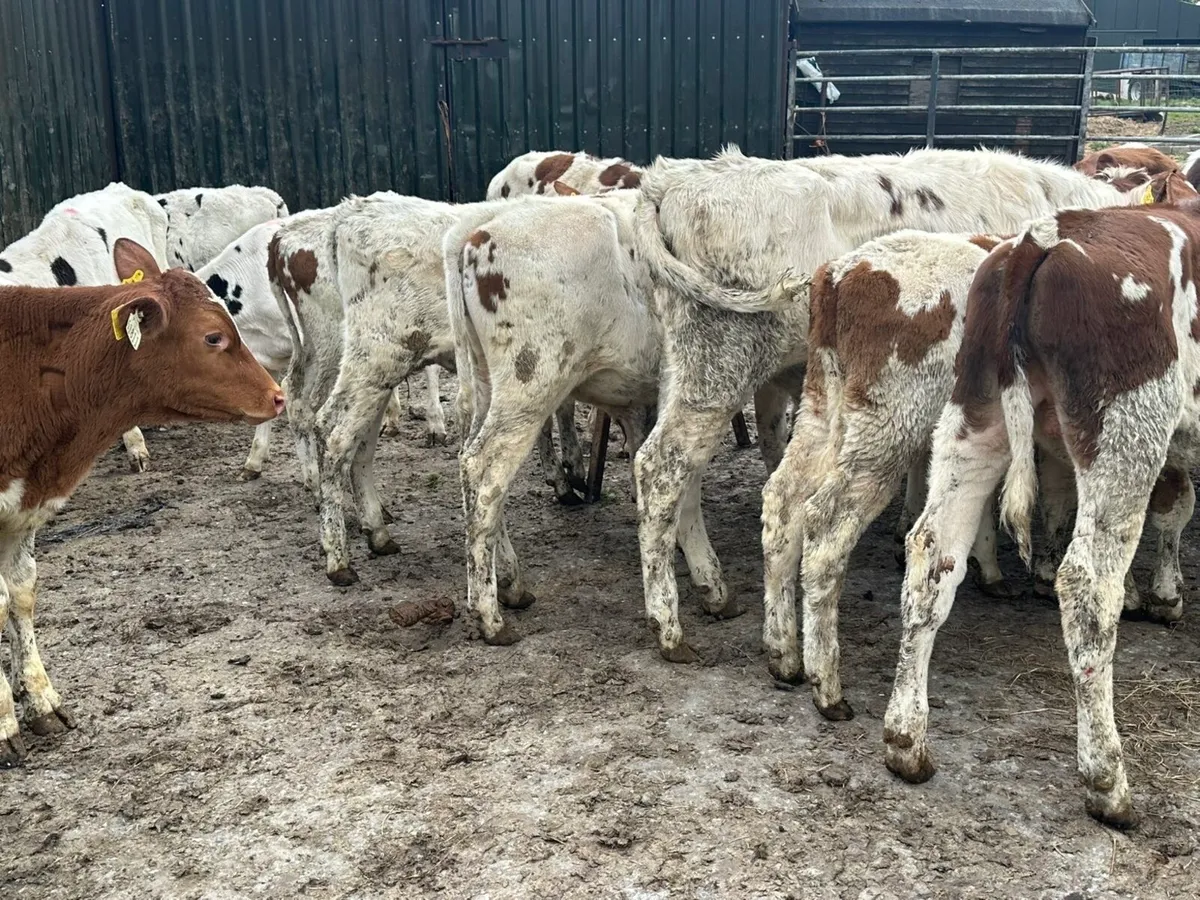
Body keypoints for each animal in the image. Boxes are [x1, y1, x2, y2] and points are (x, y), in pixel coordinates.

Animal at [0, 238, 284, 767]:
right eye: (213, 337)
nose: (277, 396)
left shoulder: (21, 511)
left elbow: (21, 594)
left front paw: (42, 700)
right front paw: (5, 724)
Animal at [443, 191, 662, 644]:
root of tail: (476, 234)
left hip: (486, 382)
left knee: (469, 464)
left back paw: (510, 584)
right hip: (530, 385)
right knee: (483, 468)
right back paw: (489, 615)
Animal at [630, 145, 1159, 663]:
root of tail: (673, 179)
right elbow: (1063, 493)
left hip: (692, 369)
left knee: (686, 474)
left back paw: (714, 590)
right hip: (722, 366)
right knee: (663, 468)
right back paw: (669, 628)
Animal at [882, 200, 1200, 829]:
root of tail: (1042, 237)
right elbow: (1176, 508)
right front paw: (1167, 596)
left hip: (975, 416)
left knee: (932, 553)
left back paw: (906, 741)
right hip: (1126, 432)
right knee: (1088, 586)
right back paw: (1107, 781)